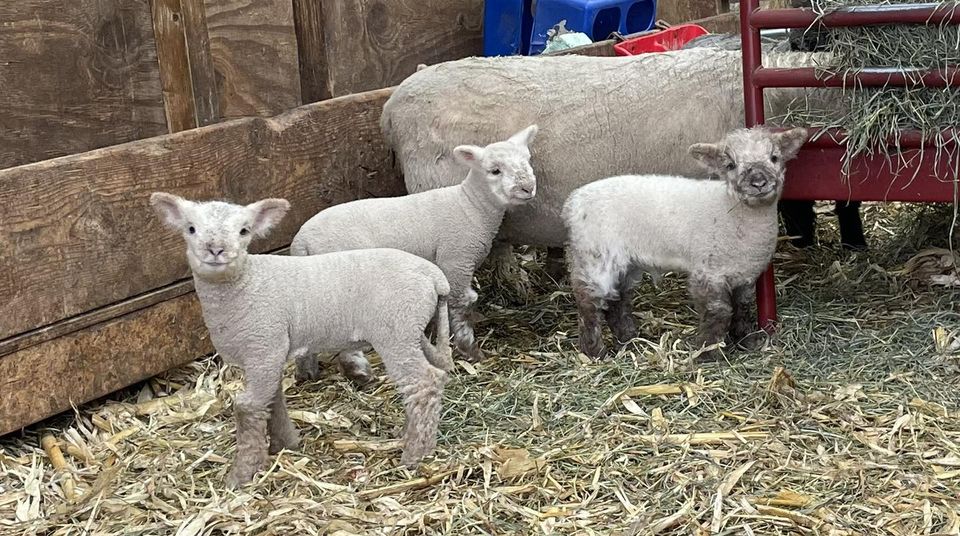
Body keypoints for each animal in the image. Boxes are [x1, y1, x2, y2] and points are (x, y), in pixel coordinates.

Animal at [149, 192, 452, 487]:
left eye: (244, 230)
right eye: (191, 228)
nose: (215, 250)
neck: (245, 282)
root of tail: (435, 277)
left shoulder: (264, 347)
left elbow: (247, 408)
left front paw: (242, 474)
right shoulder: (264, 356)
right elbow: (273, 399)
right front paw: (285, 444)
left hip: (395, 332)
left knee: (425, 383)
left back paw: (416, 453)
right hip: (412, 333)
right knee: (432, 377)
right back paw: (412, 434)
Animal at [289, 126, 538, 369]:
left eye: (528, 160)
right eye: (494, 170)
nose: (528, 188)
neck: (471, 205)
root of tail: (300, 239)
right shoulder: (456, 260)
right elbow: (461, 303)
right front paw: (468, 347)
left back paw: (308, 370)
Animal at [562, 126, 809, 361]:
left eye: (774, 157)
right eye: (730, 165)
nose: (758, 183)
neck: (733, 212)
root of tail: (572, 202)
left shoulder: (744, 275)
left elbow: (743, 308)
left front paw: (746, 340)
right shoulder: (707, 272)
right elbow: (719, 311)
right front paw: (708, 352)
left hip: (625, 262)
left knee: (617, 303)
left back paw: (629, 340)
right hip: (595, 256)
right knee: (588, 305)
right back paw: (594, 353)